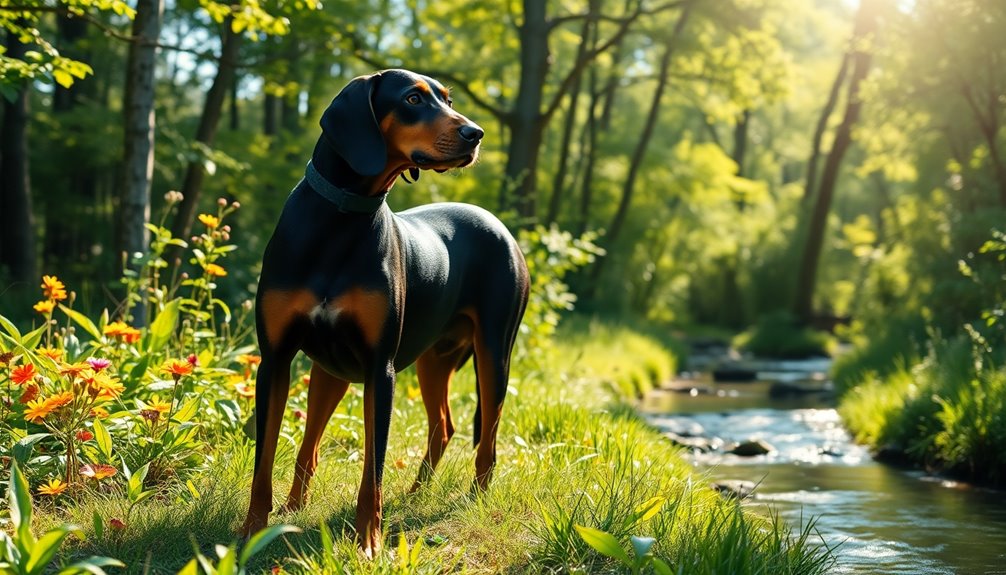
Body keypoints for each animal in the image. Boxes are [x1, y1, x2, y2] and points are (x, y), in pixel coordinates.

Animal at [239, 69, 531, 554]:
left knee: (487, 439)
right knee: (436, 427)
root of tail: (500, 227)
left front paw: (368, 542)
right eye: (413, 98)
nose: (475, 134)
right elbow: (265, 458)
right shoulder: (276, 360)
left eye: (448, 99)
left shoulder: (381, 369)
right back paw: (400, 493)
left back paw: (473, 497)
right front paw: (252, 531)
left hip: (494, 353)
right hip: (392, 365)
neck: (340, 218)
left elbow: (371, 471)